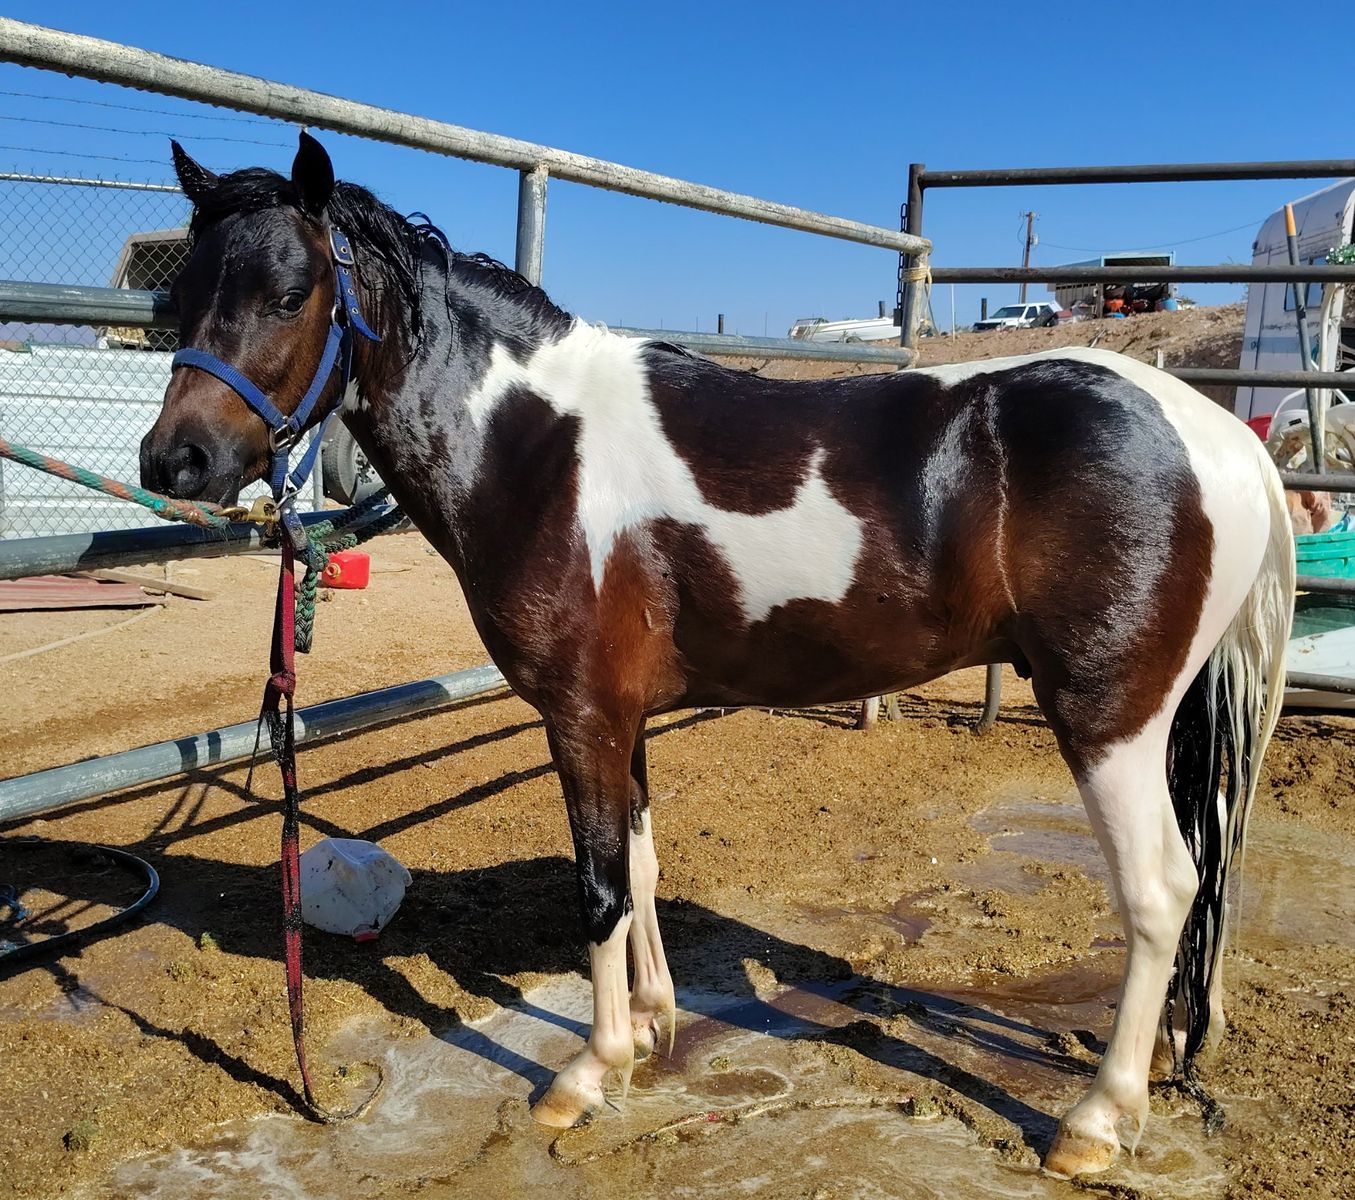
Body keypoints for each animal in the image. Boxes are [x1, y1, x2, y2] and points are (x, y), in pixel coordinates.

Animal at [142, 133, 1294, 1178]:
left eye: (290, 294)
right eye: (177, 298)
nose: (174, 460)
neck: (536, 447)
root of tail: (1217, 438)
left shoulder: (580, 713)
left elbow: (599, 887)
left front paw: (587, 1071)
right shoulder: (624, 713)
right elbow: (642, 864)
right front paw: (652, 1025)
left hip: (1108, 716)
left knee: (1160, 892)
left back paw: (1094, 1123)